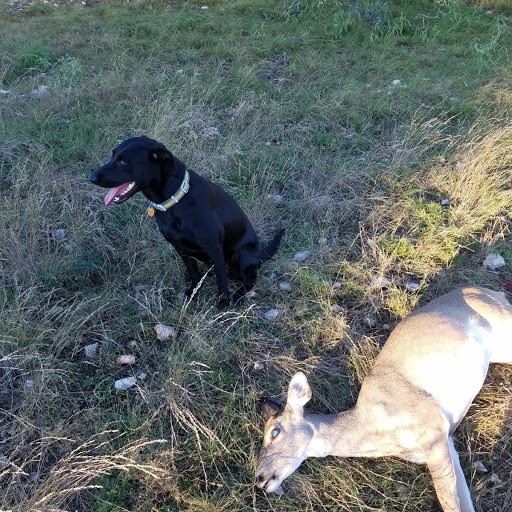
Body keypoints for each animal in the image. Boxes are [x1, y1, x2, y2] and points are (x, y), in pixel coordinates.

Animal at [89, 136, 284, 308]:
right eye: (113, 155)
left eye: (122, 162)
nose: (91, 177)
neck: (176, 200)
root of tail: (259, 254)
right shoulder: (179, 246)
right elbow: (194, 272)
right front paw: (194, 292)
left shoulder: (214, 247)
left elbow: (221, 280)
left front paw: (223, 300)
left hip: (242, 254)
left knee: (249, 280)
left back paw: (237, 295)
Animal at [255, 287, 512, 512]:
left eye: (274, 431)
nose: (259, 478)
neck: (376, 428)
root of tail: (492, 292)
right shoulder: (446, 440)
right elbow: (460, 499)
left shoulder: (432, 427)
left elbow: (450, 500)